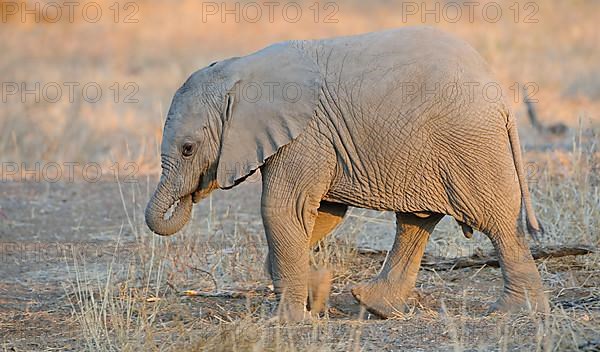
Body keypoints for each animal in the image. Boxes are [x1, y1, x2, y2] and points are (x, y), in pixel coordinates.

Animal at [144, 26, 548, 320]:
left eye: (188, 148)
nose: (192, 193)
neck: (240, 70)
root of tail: (501, 97)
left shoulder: (305, 135)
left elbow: (282, 210)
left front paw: (288, 321)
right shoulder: (317, 140)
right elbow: (321, 214)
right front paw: (313, 287)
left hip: (469, 146)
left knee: (496, 222)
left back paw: (514, 311)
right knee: (417, 221)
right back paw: (373, 306)